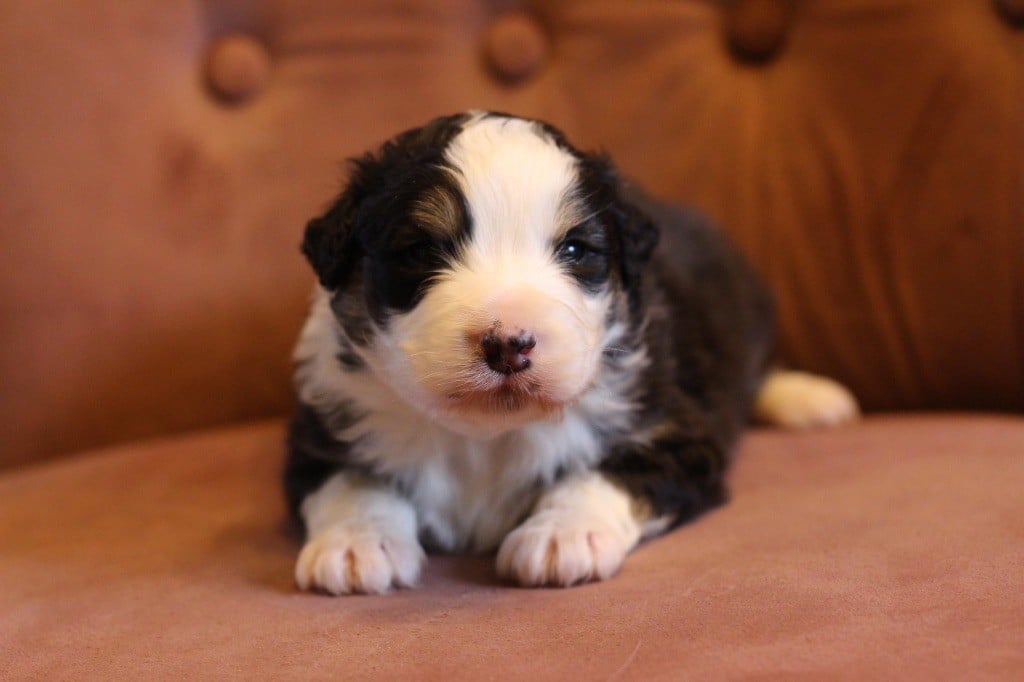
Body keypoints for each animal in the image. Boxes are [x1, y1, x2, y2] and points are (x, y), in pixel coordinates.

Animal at [284, 110, 860, 589]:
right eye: (421, 251)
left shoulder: (675, 433)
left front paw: (562, 535)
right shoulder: (325, 424)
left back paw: (810, 399)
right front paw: (356, 544)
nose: (508, 344)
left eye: (575, 249)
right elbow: (351, 481)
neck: (486, 437)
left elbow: (604, 474)